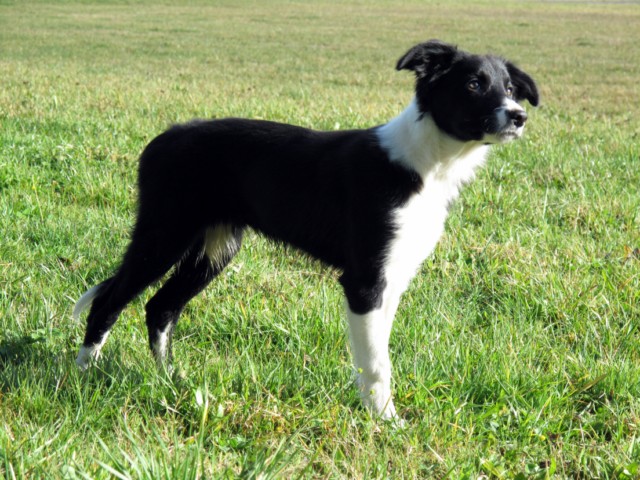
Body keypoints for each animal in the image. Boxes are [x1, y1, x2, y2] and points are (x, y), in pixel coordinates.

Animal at [73, 40, 538, 420]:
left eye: (510, 89)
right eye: (474, 84)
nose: (519, 117)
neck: (427, 164)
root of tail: (164, 137)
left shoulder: (392, 278)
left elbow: (376, 354)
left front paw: (375, 412)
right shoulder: (365, 281)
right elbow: (377, 363)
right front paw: (386, 423)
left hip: (214, 248)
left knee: (161, 308)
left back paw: (171, 380)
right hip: (163, 234)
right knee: (109, 302)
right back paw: (82, 375)